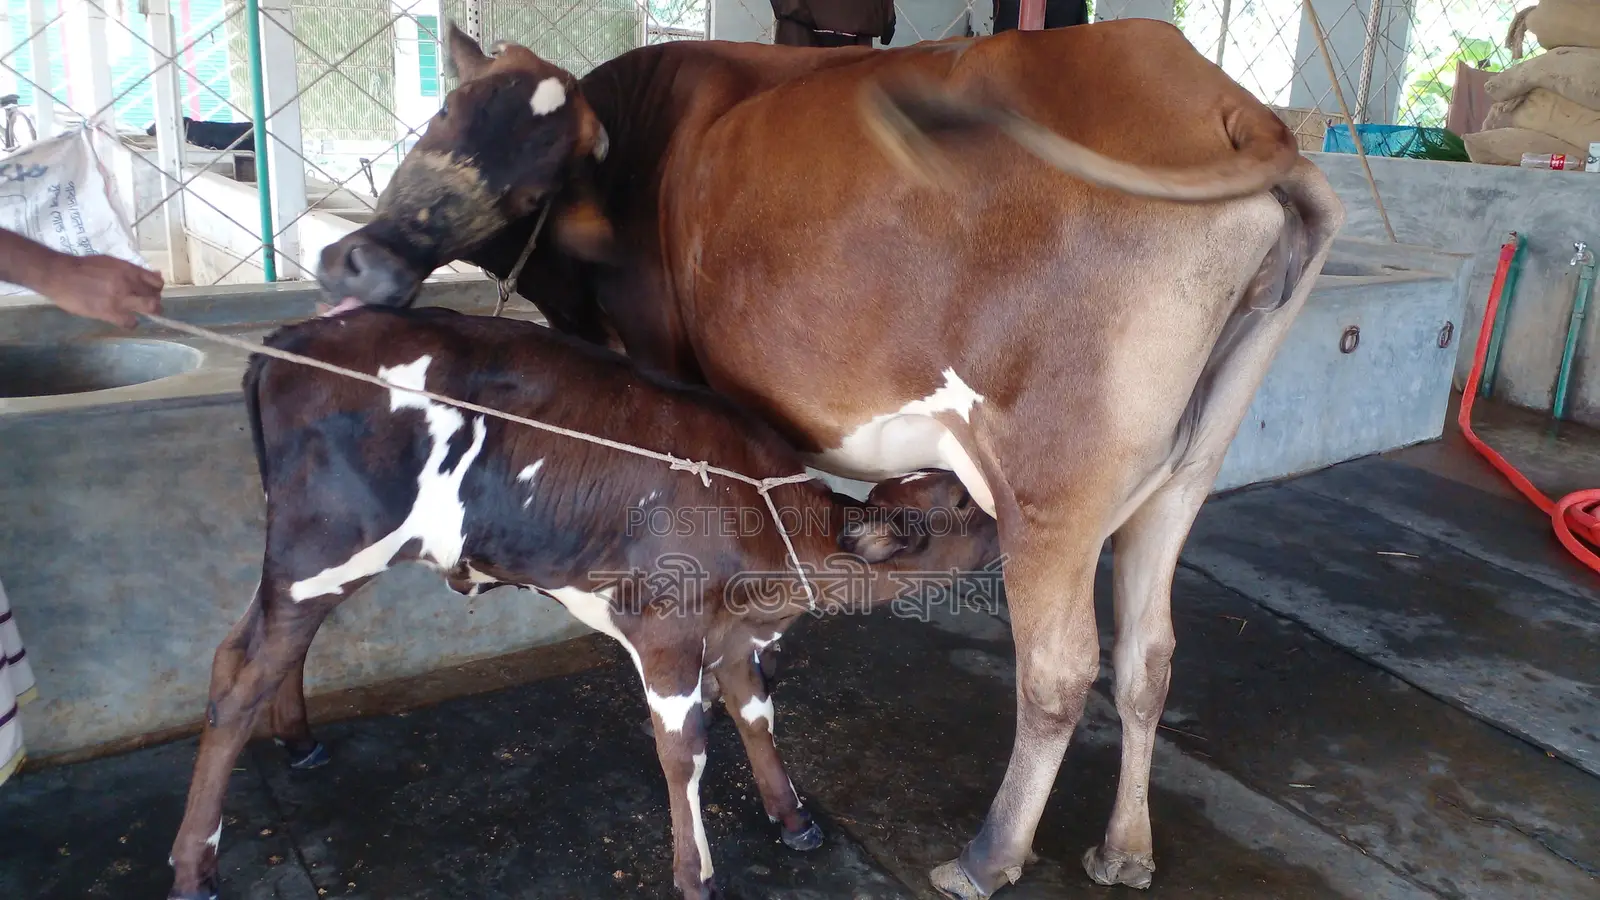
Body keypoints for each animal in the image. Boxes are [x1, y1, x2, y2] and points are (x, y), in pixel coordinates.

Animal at [165, 305, 1001, 900]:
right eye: (962, 500)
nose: (1011, 520)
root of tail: (292, 337)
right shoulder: (667, 630)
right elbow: (685, 751)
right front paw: (696, 875)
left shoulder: (733, 634)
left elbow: (758, 715)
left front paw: (792, 819)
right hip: (322, 550)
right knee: (236, 677)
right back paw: (194, 869)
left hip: (310, 563)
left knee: (266, 651)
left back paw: (298, 742)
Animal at [312, 21, 1344, 898]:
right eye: (440, 117)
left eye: (540, 174)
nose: (355, 261)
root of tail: (1233, 107)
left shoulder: (665, 371)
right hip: (1185, 470)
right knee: (1148, 655)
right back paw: (1125, 848)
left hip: (1054, 484)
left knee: (1057, 671)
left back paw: (989, 856)